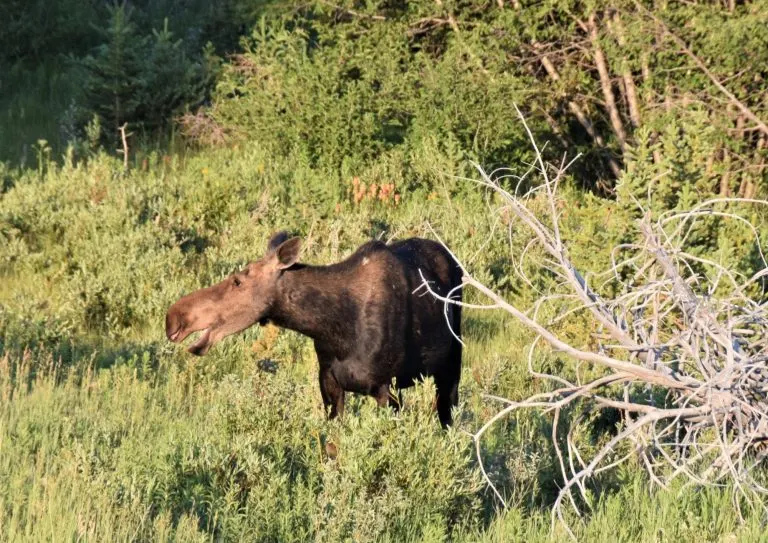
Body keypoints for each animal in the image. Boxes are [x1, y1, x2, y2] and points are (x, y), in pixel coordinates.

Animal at [166, 232, 464, 428]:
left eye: (238, 281)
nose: (173, 318)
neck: (333, 328)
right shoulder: (329, 383)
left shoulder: (383, 388)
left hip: (452, 364)